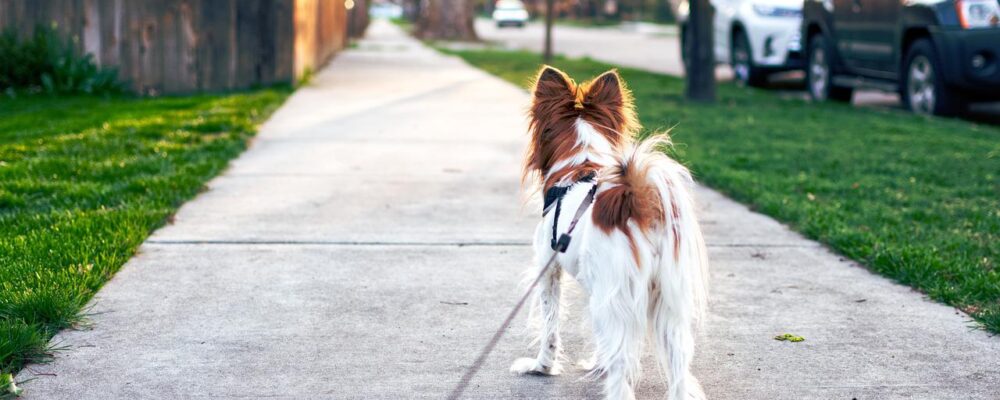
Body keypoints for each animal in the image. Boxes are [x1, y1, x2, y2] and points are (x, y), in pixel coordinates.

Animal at [508, 66, 712, 400]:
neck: (581, 164)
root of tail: (638, 202)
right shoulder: (599, 288)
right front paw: (595, 362)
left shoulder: (549, 270)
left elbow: (550, 325)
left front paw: (542, 367)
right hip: (666, 303)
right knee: (679, 367)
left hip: (618, 297)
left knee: (622, 370)